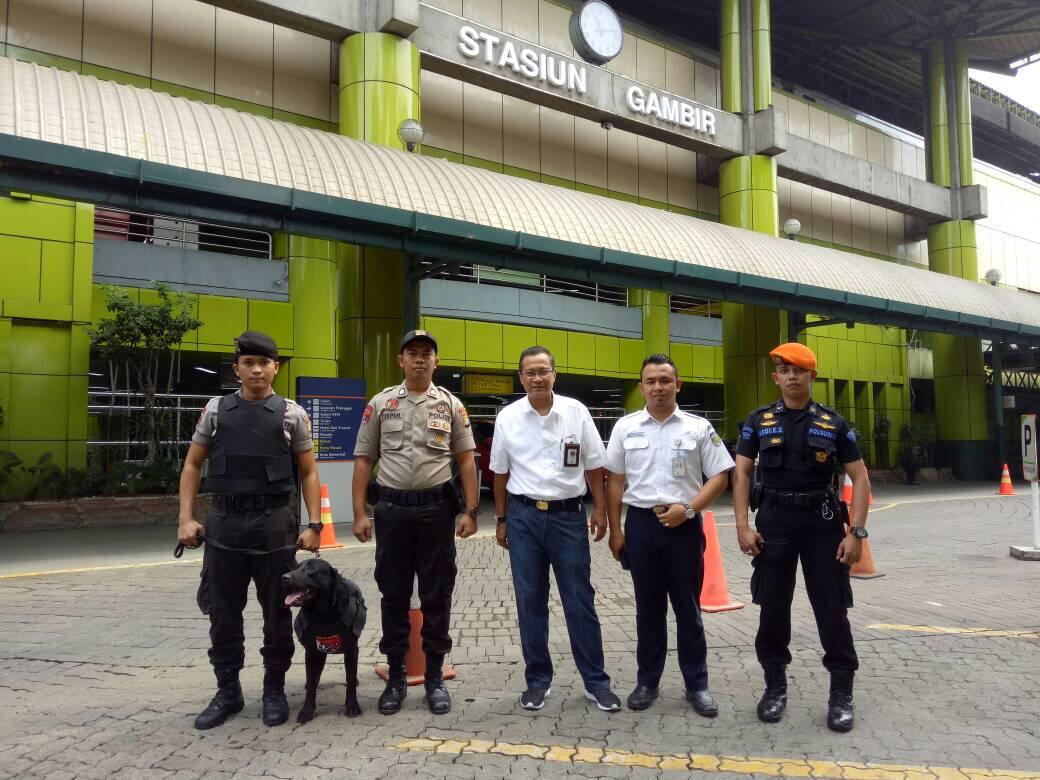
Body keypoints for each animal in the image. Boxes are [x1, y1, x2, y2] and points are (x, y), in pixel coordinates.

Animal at [282, 561, 368, 719]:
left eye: (310, 569)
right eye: (296, 567)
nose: (284, 577)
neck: (323, 617)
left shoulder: (352, 650)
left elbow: (350, 680)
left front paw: (352, 706)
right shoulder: (311, 652)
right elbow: (311, 684)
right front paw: (307, 710)